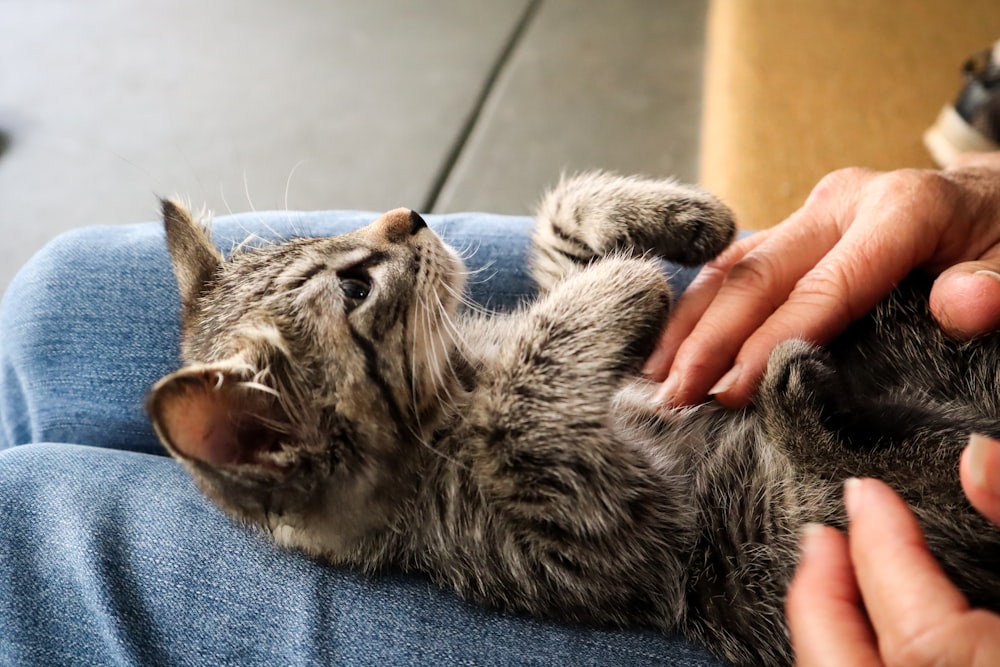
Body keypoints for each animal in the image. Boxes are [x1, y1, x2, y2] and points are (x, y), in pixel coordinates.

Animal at [146, 174, 1000, 667]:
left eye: (328, 233)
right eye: (355, 288)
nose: (412, 216)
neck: (462, 373)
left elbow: (558, 233)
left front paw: (681, 219)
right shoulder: (601, 523)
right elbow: (524, 402)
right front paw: (625, 284)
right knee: (886, 463)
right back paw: (800, 399)